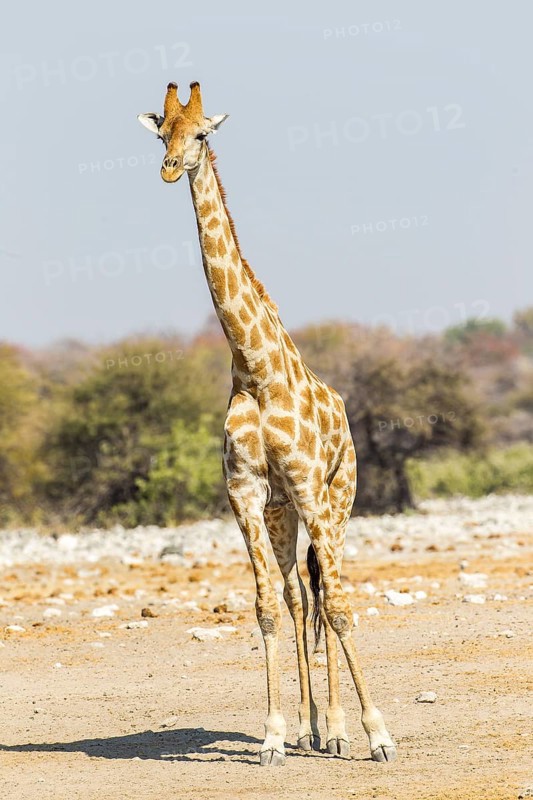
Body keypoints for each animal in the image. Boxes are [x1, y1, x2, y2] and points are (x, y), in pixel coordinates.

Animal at [138, 81, 397, 767]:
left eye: (201, 133)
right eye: (161, 133)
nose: (169, 168)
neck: (253, 365)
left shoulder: (308, 486)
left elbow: (341, 605)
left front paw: (377, 734)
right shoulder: (248, 493)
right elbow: (265, 609)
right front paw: (276, 735)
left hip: (337, 497)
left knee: (330, 592)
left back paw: (338, 729)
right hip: (285, 514)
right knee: (298, 594)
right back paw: (312, 729)